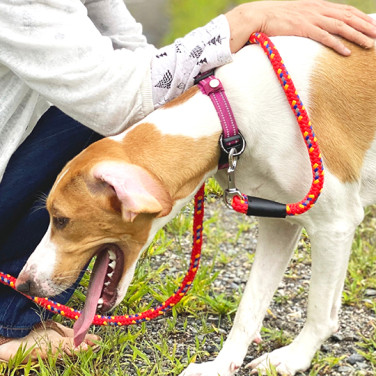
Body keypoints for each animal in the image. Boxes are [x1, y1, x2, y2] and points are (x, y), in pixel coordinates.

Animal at [15, 28, 376, 374]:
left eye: (62, 220)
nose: (23, 284)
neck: (228, 114)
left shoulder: (334, 225)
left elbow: (320, 312)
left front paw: (292, 359)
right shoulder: (279, 223)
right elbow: (249, 306)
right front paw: (221, 366)